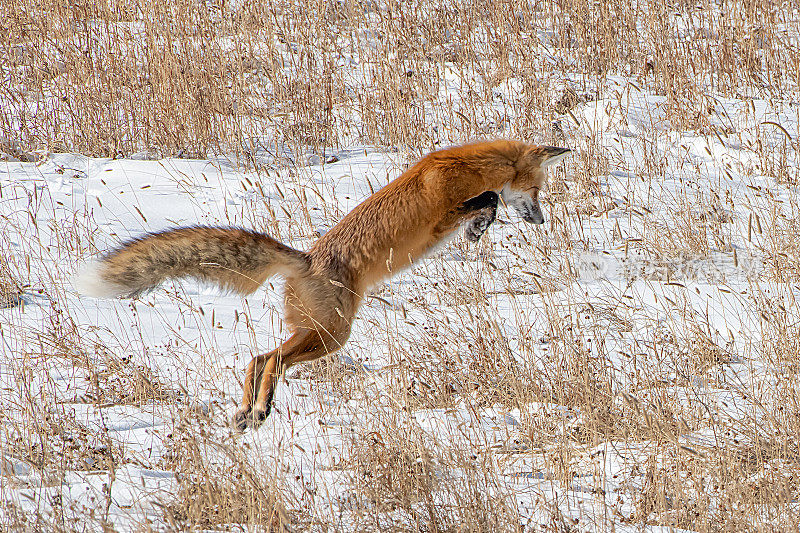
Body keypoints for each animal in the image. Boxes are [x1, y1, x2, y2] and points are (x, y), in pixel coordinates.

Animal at [72, 138, 564, 428]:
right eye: (538, 191)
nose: (542, 220)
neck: (466, 163)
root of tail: (305, 260)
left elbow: (489, 202)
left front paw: (480, 228)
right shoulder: (443, 214)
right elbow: (489, 197)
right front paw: (483, 218)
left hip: (317, 332)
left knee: (259, 357)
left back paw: (250, 410)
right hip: (332, 335)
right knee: (272, 359)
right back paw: (261, 407)